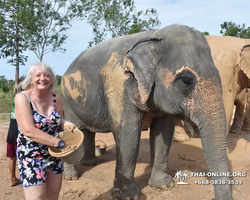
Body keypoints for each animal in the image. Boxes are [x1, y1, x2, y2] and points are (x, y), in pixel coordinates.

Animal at [61, 24, 232, 199]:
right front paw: (127, 196)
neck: (153, 37)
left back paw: (90, 163)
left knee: (87, 131)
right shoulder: (119, 86)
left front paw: (162, 185)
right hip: (66, 100)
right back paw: (71, 176)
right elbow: (128, 134)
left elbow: (163, 132)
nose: (213, 196)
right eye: (186, 80)